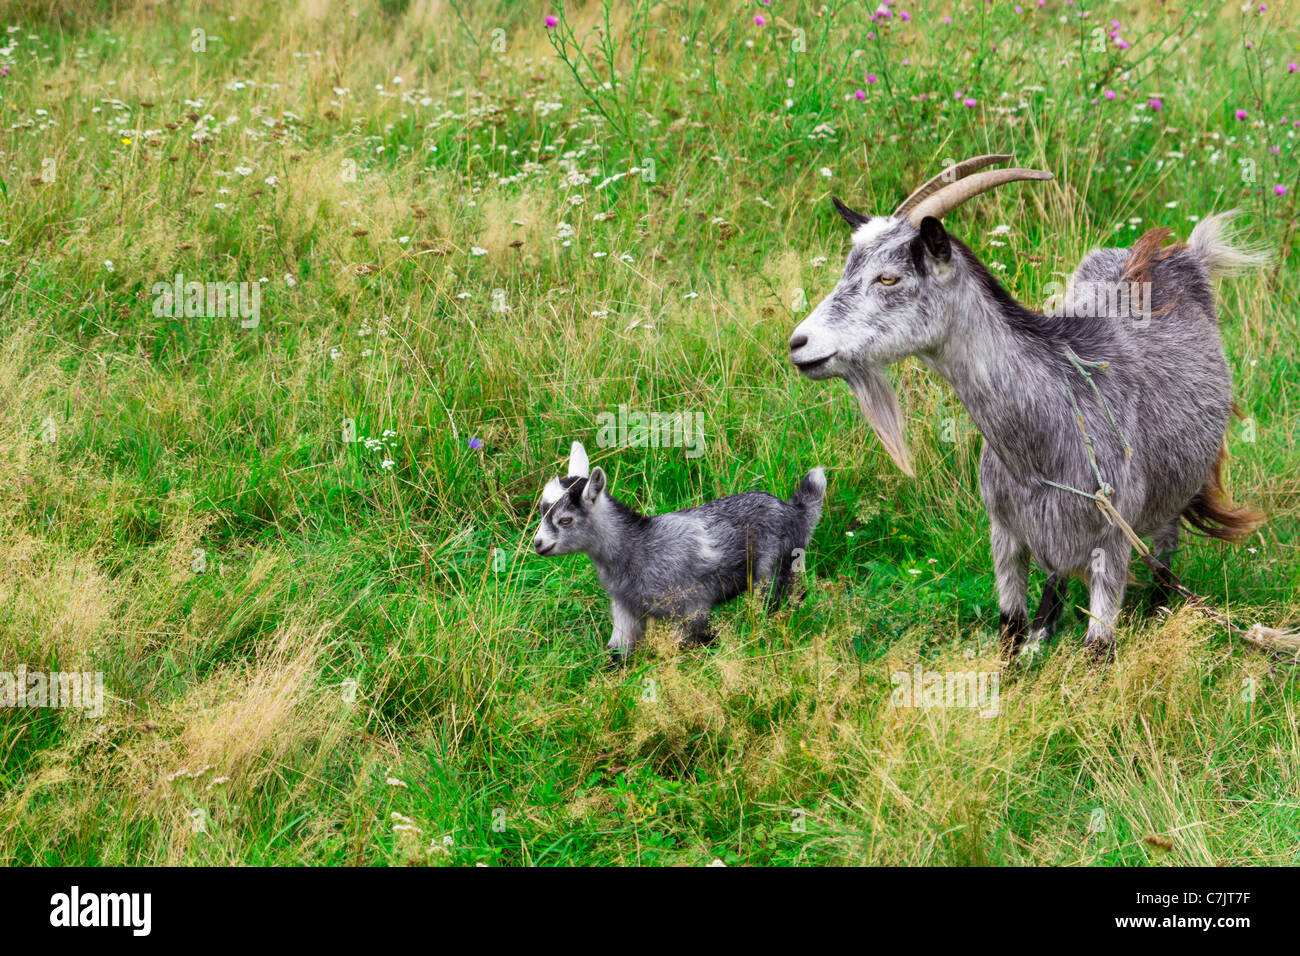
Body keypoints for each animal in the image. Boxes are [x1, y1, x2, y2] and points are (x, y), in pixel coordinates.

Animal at [533, 442, 826, 660]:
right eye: (542, 511)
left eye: (565, 520)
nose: (538, 544)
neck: (638, 547)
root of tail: (795, 512)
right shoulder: (626, 609)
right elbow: (618, 654)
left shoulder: (691, 608)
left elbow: (689, 645)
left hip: (772, 571)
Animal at [788, 154, 1263, 660]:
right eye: (848, 268)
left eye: (889, 278)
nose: (799, 343)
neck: (1040, 444)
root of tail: (1180, 254)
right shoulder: (1006, 533)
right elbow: (1009, 627)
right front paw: (1027, 643)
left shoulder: (1112, 541)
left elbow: (1099, 648)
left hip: (1175, 491)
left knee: (1166, 547)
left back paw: (1159, 605)